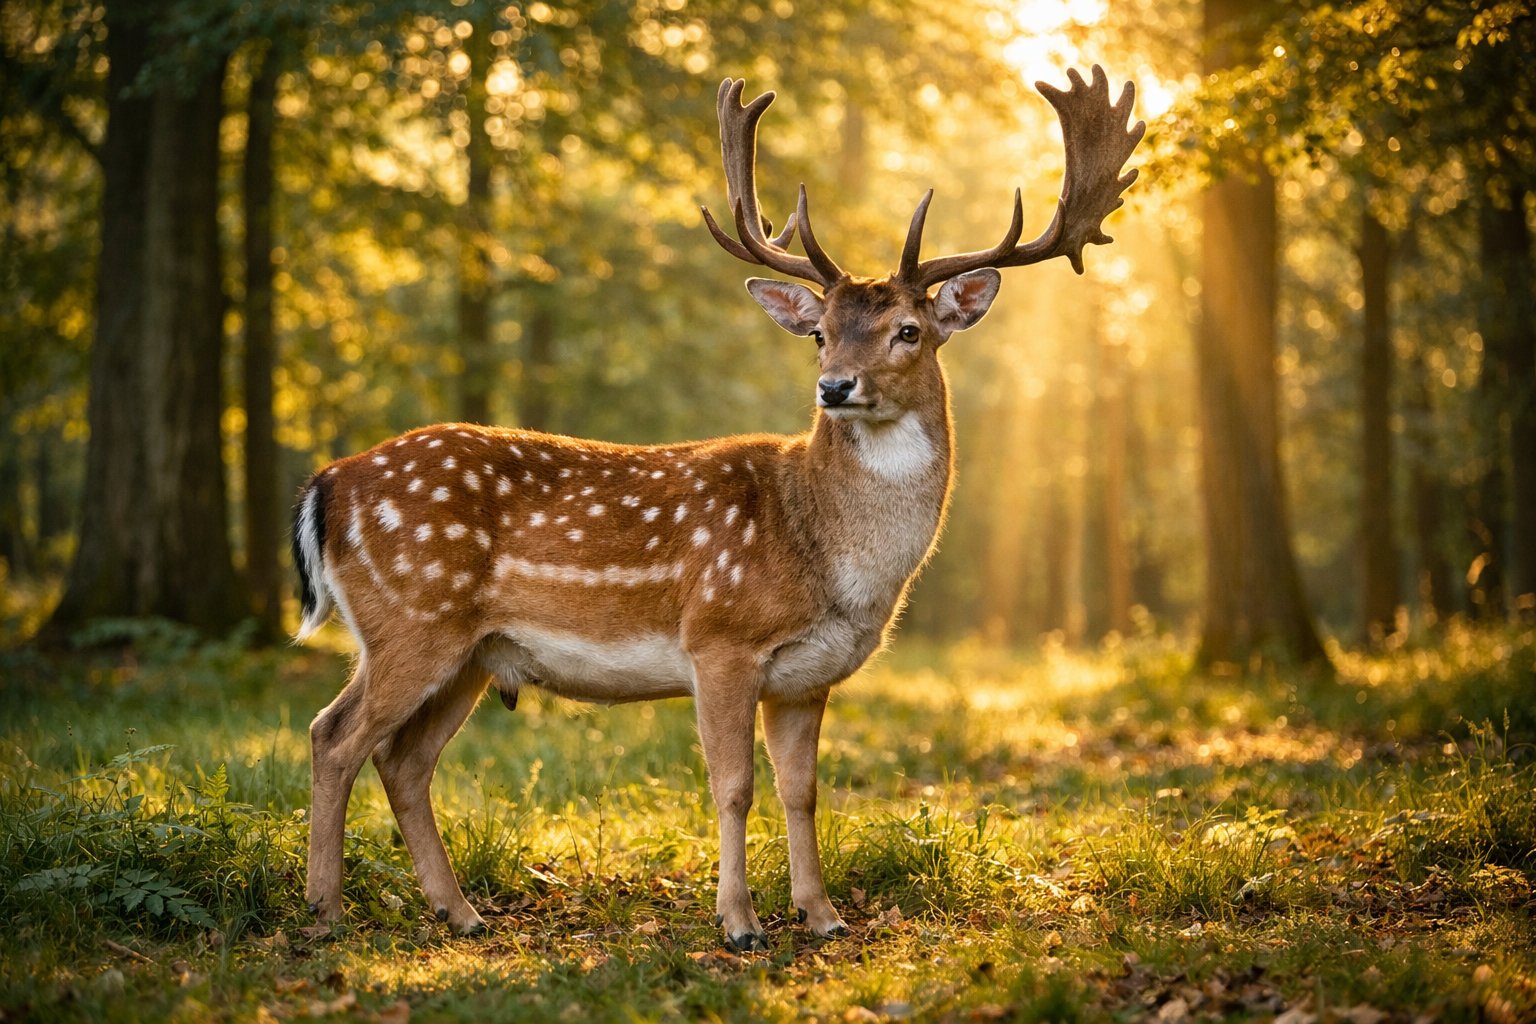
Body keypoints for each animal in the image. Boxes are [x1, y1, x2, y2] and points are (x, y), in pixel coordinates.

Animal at [291, 66, 1143, 951]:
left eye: (909, 330)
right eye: (820, 333)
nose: (835, 387)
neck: (828, 555)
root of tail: (328, 485)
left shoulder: (807, 676)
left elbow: (802, 790)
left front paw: (822, 916)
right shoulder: (721, 638)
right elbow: (733, 786)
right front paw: (739, 923)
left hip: (472, 650)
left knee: (403, 759)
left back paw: (456, 911)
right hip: (410, 618)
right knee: (334, 736)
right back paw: (325, 911)